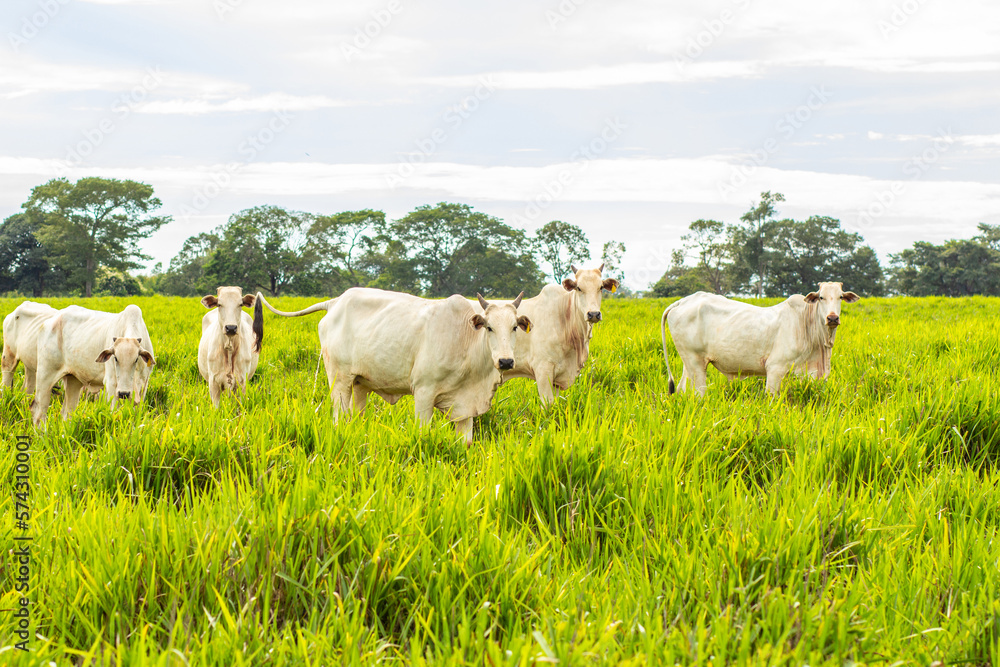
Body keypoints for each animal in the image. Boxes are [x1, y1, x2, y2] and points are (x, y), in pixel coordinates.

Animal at [256, 288, 532, 444]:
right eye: (489, 327)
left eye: (514, 327)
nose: (506, 361)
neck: (465, 339)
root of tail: (335, 302)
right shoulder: (424, 392)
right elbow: (422, 433)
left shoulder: (465, 407)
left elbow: (465, 443)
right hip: (339, 380)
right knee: (339, 418)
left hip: (360, 384)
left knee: (356, 416)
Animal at [470, 264, 616, 404]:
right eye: (579, 288)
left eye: (601, 287)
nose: (593, 314)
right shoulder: (542, 369)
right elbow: (547, 403)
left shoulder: (557, 378)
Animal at [664, 282, 860, 396]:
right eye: (821, 297)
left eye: (841, 297)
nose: (832, 318)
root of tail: (682, 301)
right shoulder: (774, 368)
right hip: (696, 364)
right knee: (699, 394)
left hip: (689, 363)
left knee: (681, 389)